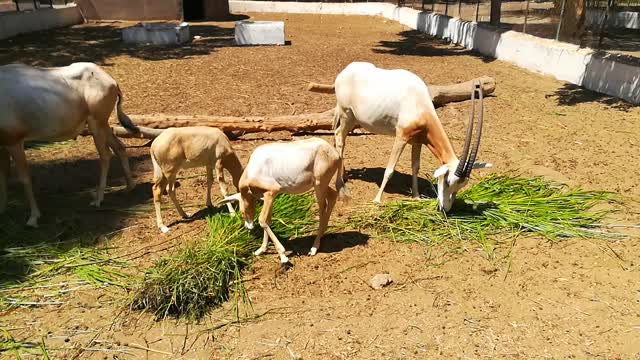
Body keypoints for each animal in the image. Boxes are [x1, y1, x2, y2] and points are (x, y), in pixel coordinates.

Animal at [220, 136, 350, 262]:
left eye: (242, 212)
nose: (248, 227)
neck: (254, 168)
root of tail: (335, 153)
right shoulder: (270, 196)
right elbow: (268, 220)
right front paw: (261, 250)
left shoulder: (271, 191)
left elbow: (262, 220)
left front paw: (283, 256)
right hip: (319, 185)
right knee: (333, 195)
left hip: (319, 184)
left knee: (322, 209)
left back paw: (313, 248)